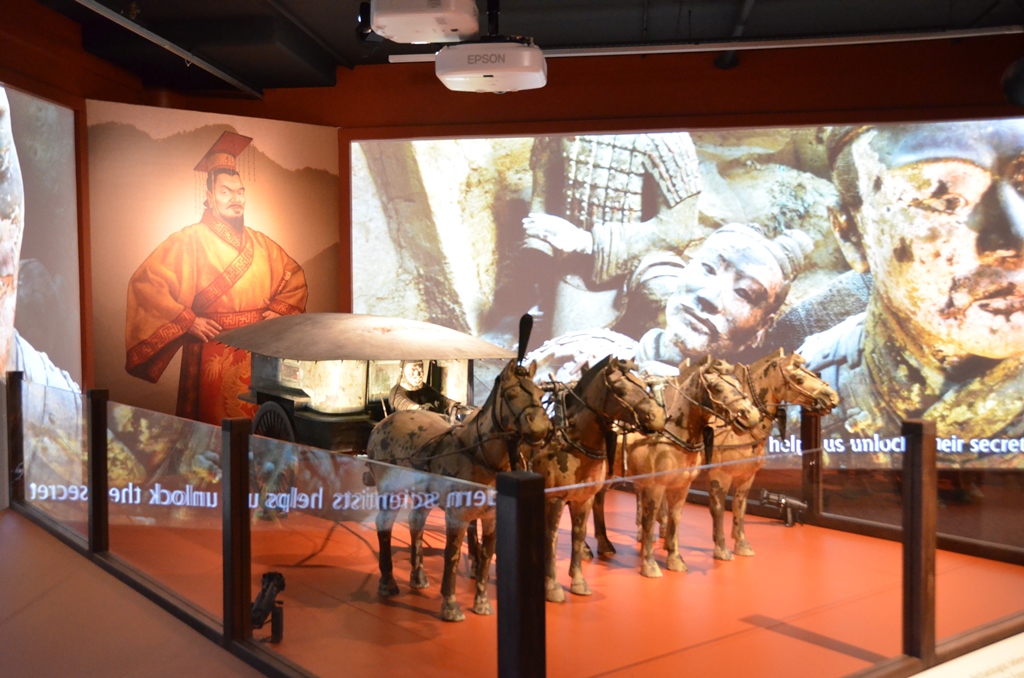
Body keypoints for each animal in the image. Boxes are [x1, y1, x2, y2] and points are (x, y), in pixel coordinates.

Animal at [364, 358, 551, 622]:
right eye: (511, 394)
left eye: (540, 394)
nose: (541, 428)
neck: (479, 457)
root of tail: (381, 425)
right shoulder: (457, 518)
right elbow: (451, 556)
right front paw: (451, 605)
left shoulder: (491, 518)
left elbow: (486, 556)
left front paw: (482, 603)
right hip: (390, 494)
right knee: (384, 527)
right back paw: (388, 582)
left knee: (416, 523)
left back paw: (418, 577)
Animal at [532, 356, 666, 603]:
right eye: (621, 390)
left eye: (643, 383)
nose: (659, 418)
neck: (571, 444)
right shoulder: (554, 500)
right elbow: (551, 537)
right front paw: (552, 586)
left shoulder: (582, 499)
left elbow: (577, 535)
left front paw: (578, 582)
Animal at [602, 357, 761, 578]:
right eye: (718, 387)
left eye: (738, 384)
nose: (751, 415)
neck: (671, 436)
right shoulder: (654, 487)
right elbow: (649, 521)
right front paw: (649, 565)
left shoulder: (681, 487)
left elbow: (675, 519)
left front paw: (674, 559)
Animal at [707, 348, 838, 561]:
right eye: (799, 378)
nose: (832, 397)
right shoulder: (719, 476)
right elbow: (718, 509)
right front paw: (721, 549)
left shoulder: (747, 476)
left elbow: (739, 506)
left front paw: (742, 544)